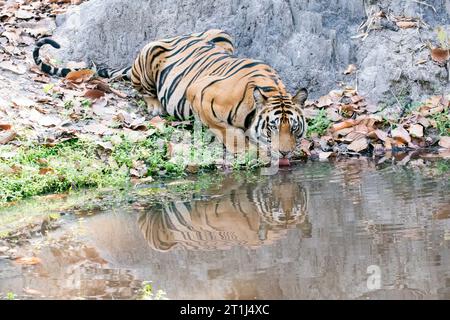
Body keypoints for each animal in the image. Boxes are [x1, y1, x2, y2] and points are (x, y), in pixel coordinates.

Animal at [34, 28, 310, 158]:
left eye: (294, 128)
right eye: (272, 127)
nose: (285, 153)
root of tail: (178, 35)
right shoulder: (199, 94)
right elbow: (226, 131)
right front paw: (250, 151)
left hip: (221, 34)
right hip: (149, 54)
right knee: (140, 88)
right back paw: (154, 105)